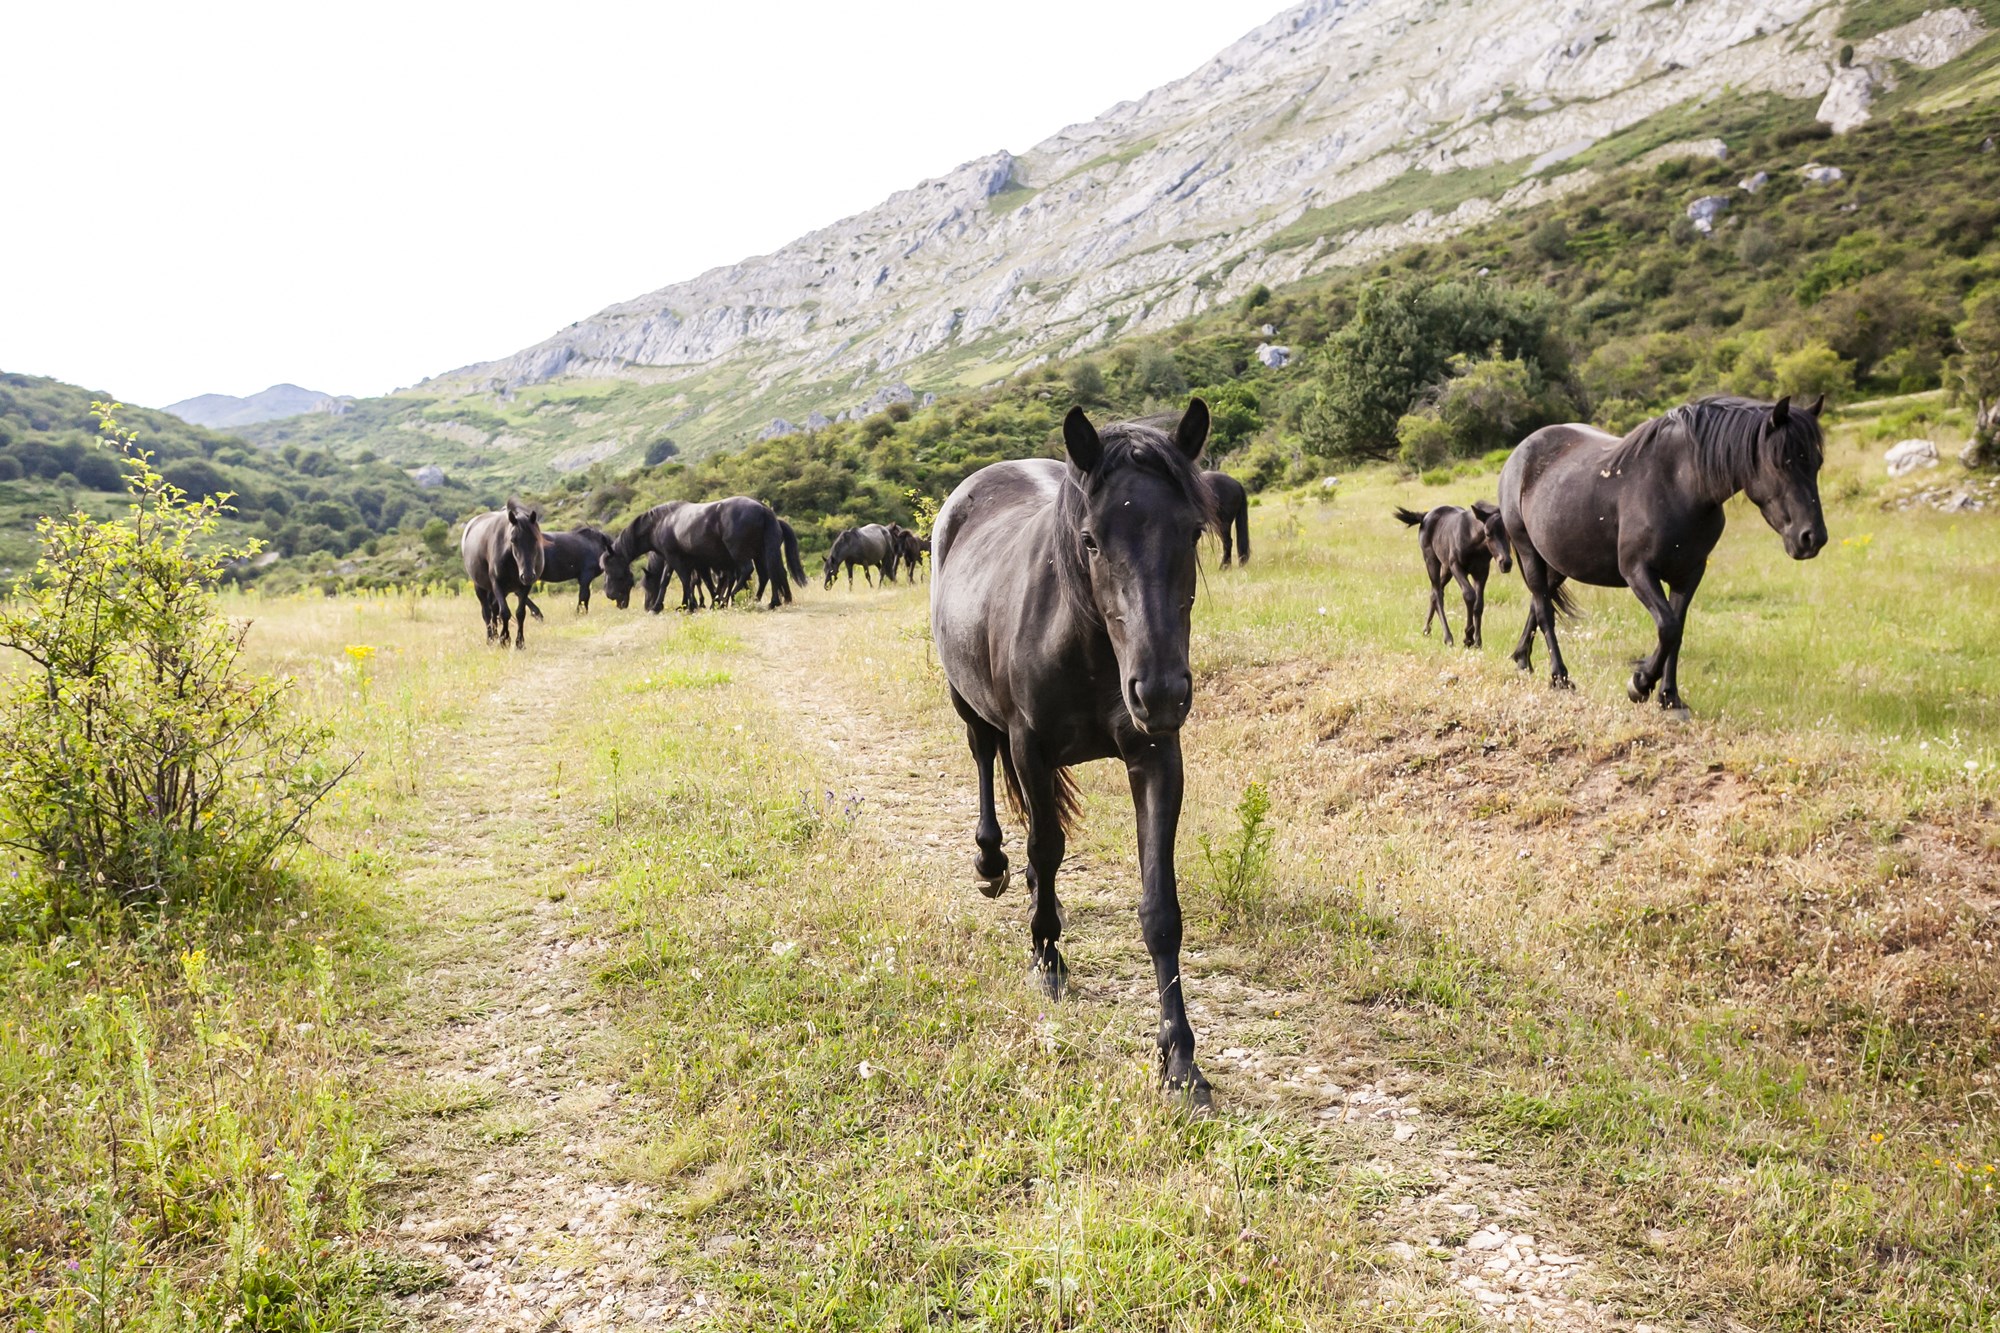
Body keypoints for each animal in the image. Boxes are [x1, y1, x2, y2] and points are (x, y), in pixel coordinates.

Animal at [458, 498, 544, 644]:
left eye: (535, 538)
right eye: (513, 540)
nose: (527, 575)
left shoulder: (524, 587)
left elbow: (520, 613)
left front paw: (519, 642)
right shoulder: (497, 584)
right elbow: (504, 612)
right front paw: (505, 640)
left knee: (493, 609)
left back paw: (495, 636)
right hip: (480, 587)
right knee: (486, 612)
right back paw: (491, 639)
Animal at [932, 402, 1216, 1096]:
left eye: (1194, 531)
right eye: (1091, 539)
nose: (1161, 691)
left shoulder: (1157, 757)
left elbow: (1159, 905)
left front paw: (1178, 1054)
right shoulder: (1028, 746)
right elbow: (1046, 844)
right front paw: (1047, 956)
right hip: (969, 706)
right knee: (986, 764)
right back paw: (992, 864)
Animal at [1400, 500, 1504, 644]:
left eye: (1508, 534)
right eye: (1488, 533)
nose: (1506, 563)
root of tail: (1425, 516)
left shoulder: (1482, 572)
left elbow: (1479, 604)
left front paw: (1477, 642)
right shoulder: (1456, 566)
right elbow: (1469, 595)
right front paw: (1468, 637)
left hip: (1446, 568)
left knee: (1435, 591)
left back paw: (1426, 630)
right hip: (1431, 560)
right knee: (1437, 593)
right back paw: (1448, 637)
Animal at [1504, 392, 1832, 712]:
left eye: (1816, 463)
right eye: (1782, 463)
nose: (1812, 538)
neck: (1677, 486)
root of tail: (1521, 451)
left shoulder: (1689, 574)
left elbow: (1678, 630)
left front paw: (1669, 698)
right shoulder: (1638, 571)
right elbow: (1668, 626)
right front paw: (1639, 684)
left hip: (1558, 562)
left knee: (1539, 601)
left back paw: (1522, 658)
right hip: (1529, 551)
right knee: (1544, 611)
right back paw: (1559, 678)